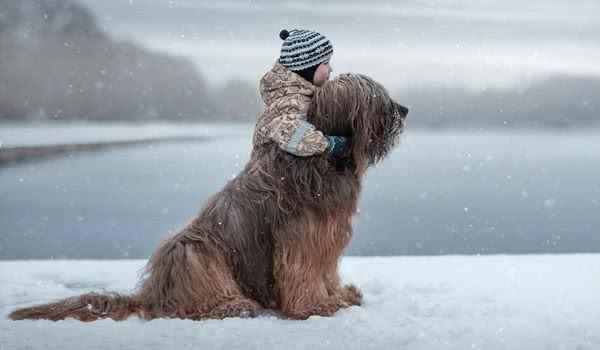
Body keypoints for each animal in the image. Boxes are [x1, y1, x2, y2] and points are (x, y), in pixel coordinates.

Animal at [10, 72, 408, 322]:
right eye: (376, 98)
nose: (404, 110)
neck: (325, 157)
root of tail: (152, 293)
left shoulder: (326, 235)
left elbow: (325, 271)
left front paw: (338, 296)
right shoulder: (301, 237)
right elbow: (303, 271)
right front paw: (314, 307)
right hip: (193, 251)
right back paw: (232, 305)